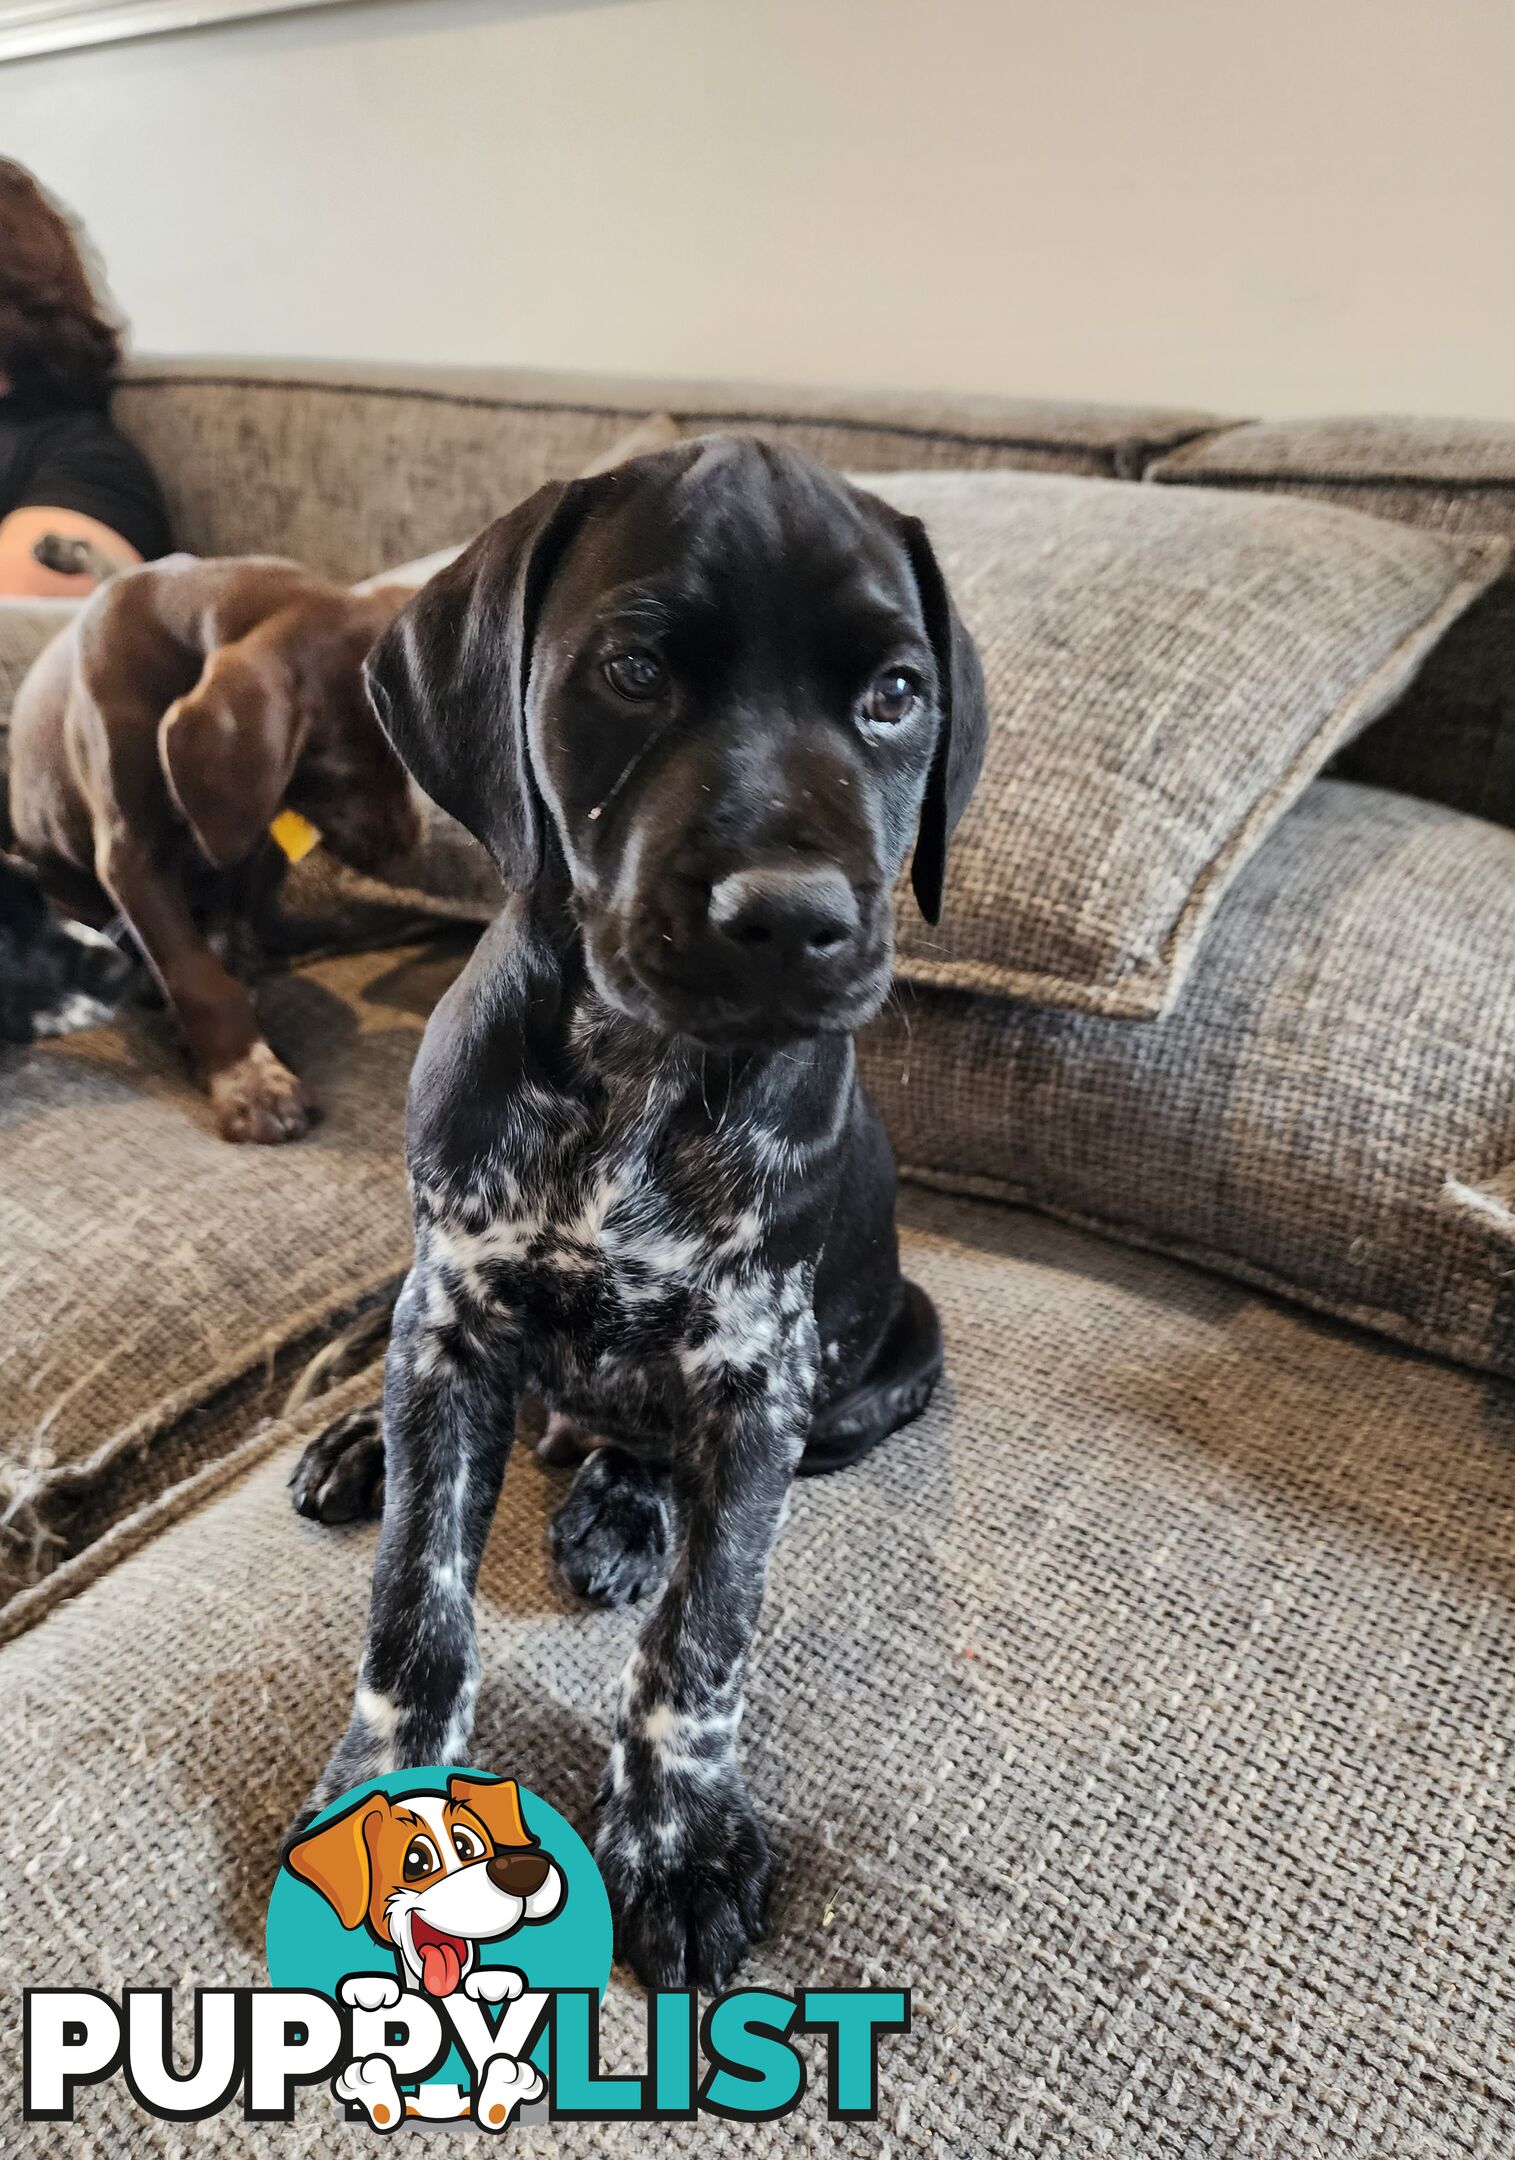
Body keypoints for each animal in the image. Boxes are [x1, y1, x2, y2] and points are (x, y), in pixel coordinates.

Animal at [289, 434, 985, 1987]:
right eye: (633, 670)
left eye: (895, 696)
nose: (792, 919)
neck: (639, 1071)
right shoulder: (454, 1311)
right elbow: (416, 1593)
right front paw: (389, 1797)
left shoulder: (755, 1370)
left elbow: (702, 1632)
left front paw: (675, 1836)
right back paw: (360, 1443)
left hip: (875, 1371)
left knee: (646, 1454)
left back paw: (617, 1506)